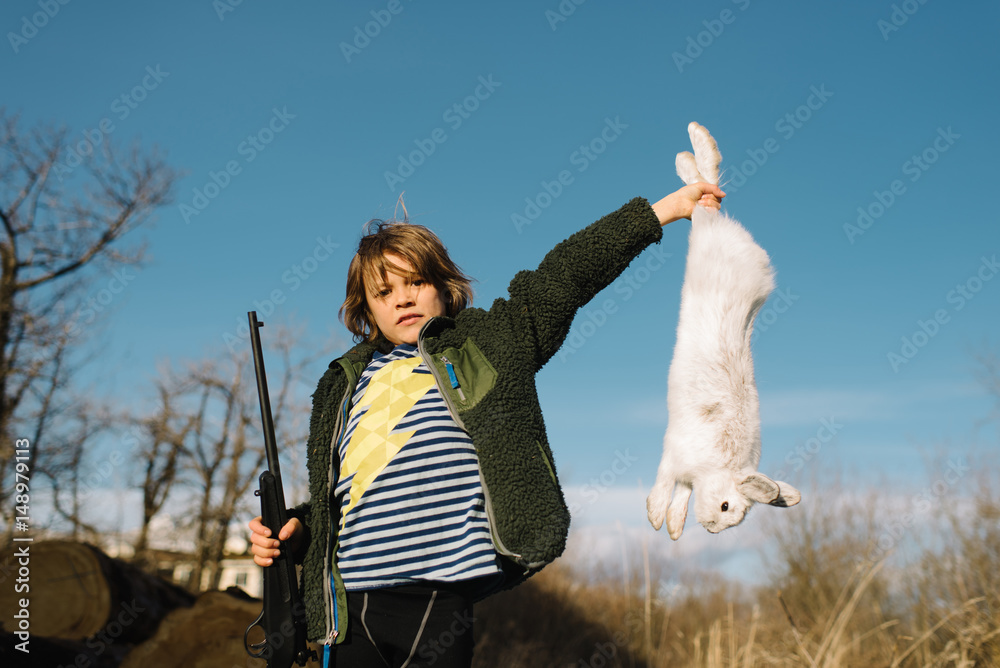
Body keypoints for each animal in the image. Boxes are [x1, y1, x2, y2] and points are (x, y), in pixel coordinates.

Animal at [645, 122, 800, 540]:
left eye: (733, 515)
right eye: (727, 506)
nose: (713, 529)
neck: (720, 468)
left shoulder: (684, 472)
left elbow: (681, 494)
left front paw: (674, 527)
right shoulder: (673, 453)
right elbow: (665, 483)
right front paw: (655, 516)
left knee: (704, 184)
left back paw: (692, 154)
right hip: (707, 235)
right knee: (705, 189)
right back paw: (696, 144)